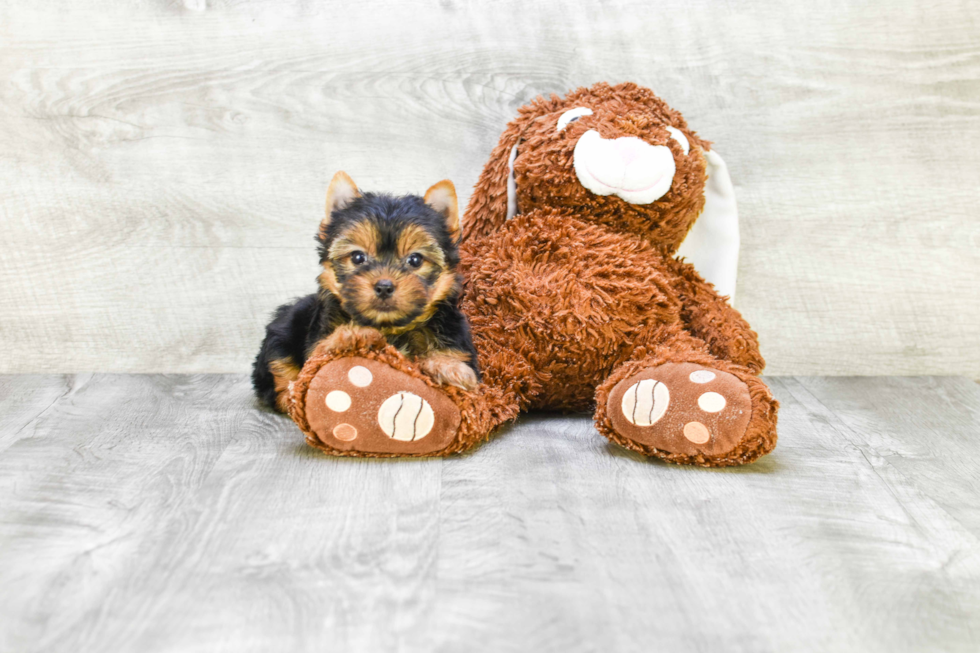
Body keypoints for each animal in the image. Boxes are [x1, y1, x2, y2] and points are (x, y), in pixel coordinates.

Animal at [255, 171, 480, 410]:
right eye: (357, 257)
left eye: (415, 260)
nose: (384, 286)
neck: (392, 329)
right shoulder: (316, 347)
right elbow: (323, 351)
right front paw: (354, 334)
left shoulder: (457, 343)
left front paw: (449, 367)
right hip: (282, 332)